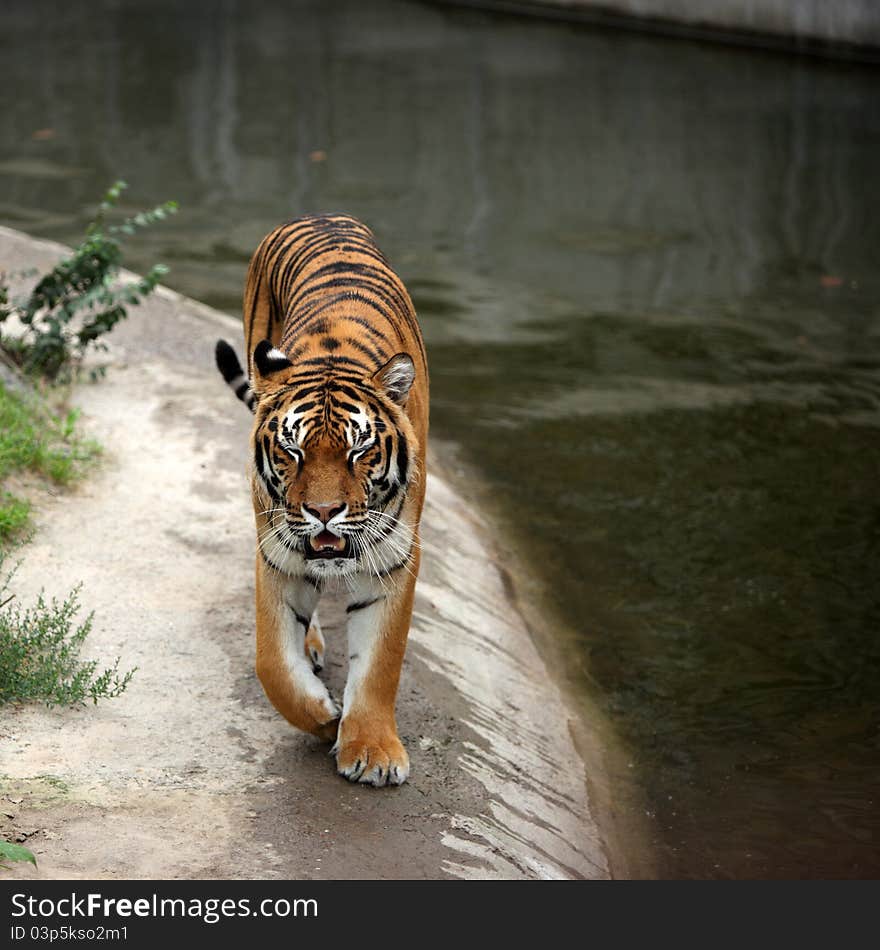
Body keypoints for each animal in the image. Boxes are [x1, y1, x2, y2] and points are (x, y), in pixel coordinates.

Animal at [217, 214, 430, 788]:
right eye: (292, 450)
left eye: (359, 450)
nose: (325, 512)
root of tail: (319, 216)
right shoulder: (276, 549)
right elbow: (272, 662)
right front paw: (322, 717)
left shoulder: (395, 557)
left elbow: (380, 663)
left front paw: (372, 751)